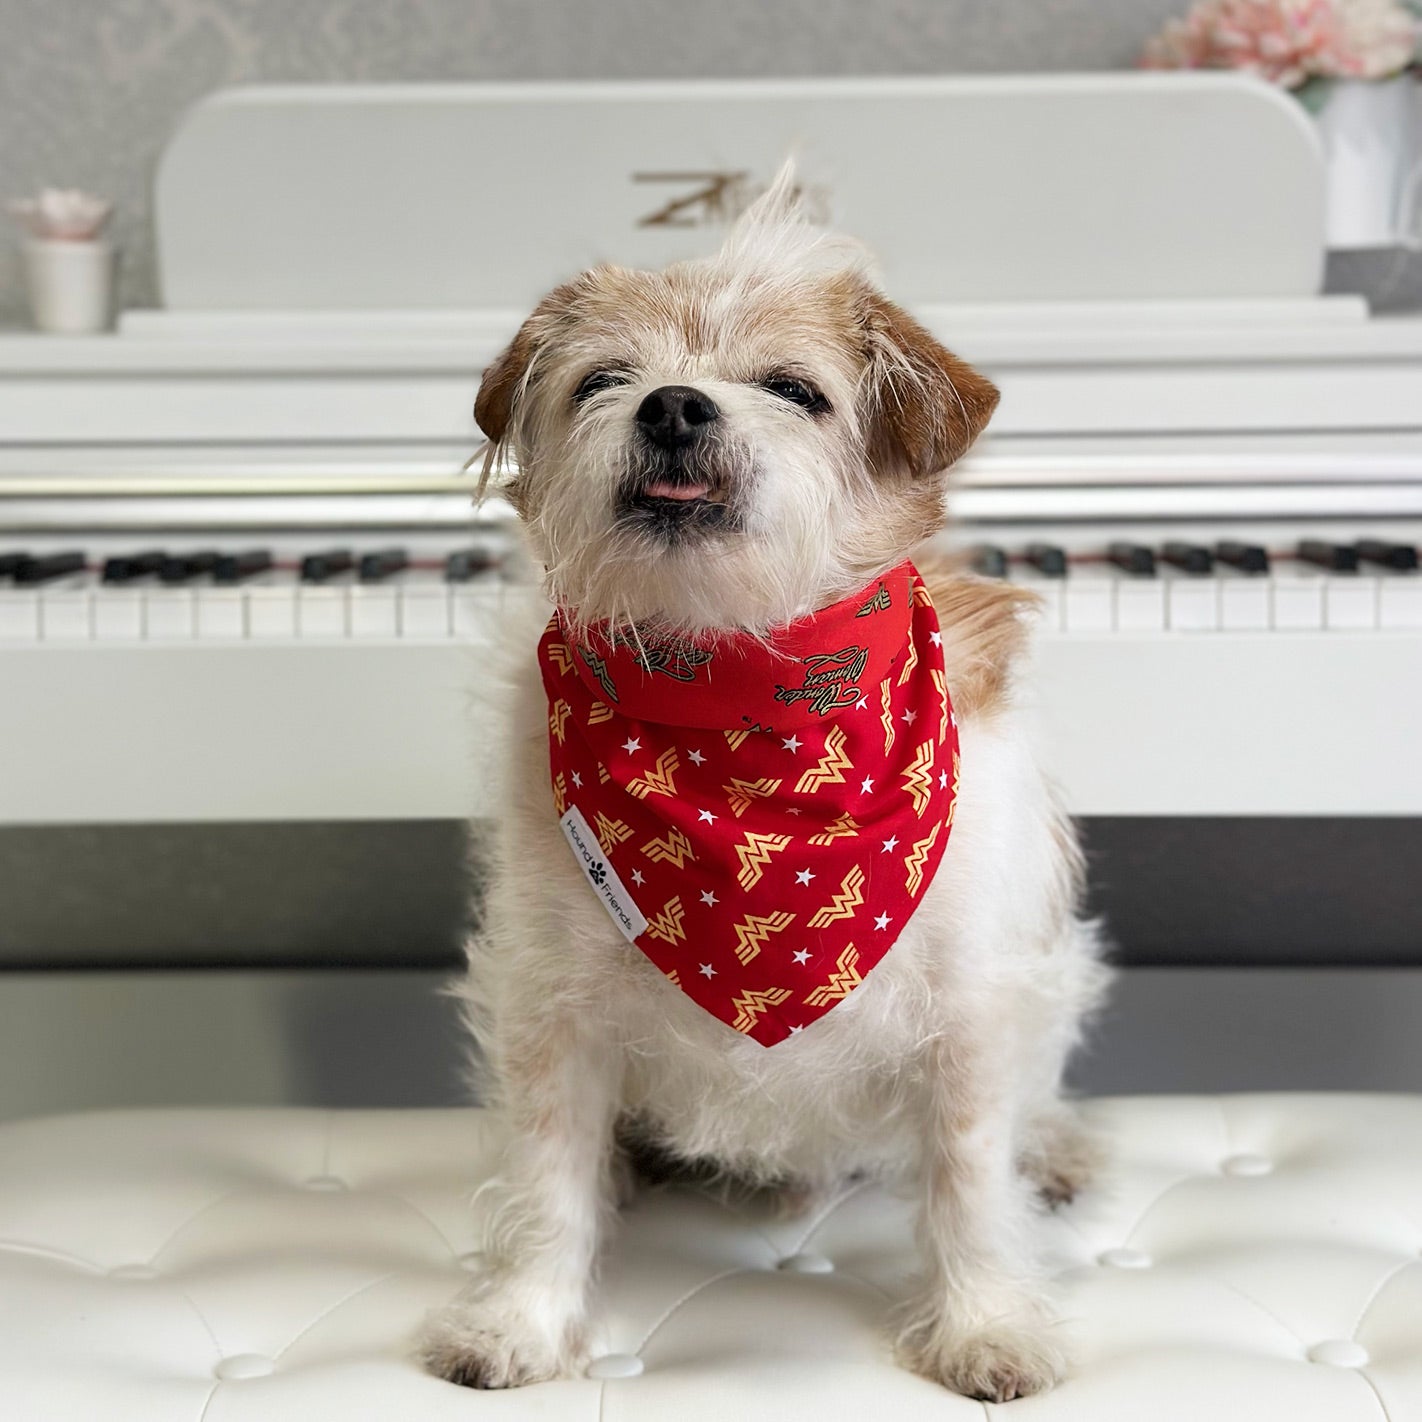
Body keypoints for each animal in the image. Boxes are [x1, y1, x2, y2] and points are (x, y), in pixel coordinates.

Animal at [420, 174, 1109, 1399]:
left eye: (796, 391)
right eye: (602, 379)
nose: (674, 407)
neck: (734, 701)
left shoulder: (971, 1016)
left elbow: (970, 1185)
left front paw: (985, 1324)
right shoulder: (551, 1007)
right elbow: (546, 1179)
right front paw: (521, 1322)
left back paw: (1056, 1147)